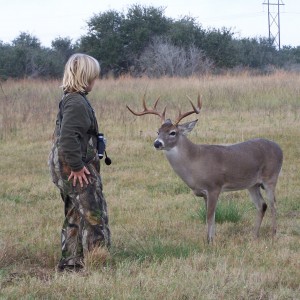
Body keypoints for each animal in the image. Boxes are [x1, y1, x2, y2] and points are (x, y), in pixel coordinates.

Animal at [127, 95, 284, 244]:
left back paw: (273, 234)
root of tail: (279, 148)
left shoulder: (214, 186)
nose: (157, 143)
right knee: (262, 205)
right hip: (252, 184)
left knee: (273, 205)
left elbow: (209, 216)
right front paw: (210, 239)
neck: (195, 163)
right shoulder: (204, 193)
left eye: (173, 132)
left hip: (271, 177)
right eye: (158, 131)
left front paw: (210, 242)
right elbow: (210, 217)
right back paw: (254, 236)